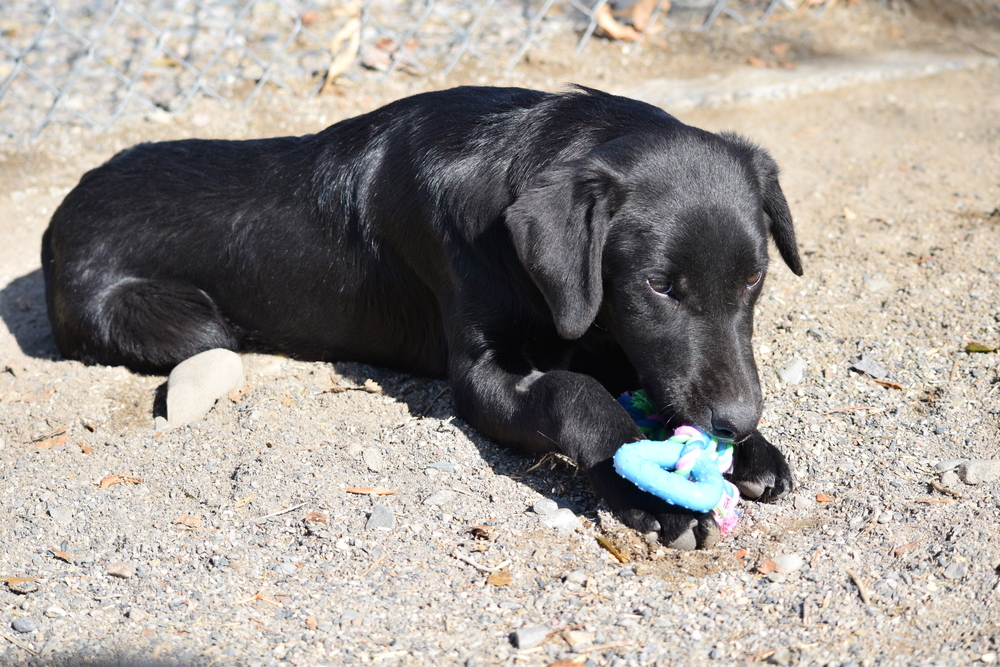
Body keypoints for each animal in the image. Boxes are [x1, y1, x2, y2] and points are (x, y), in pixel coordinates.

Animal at [43, 86, 804, 552]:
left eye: (755, 278)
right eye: (658, 285)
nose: (735, 422)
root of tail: (58, 218)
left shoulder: (592, 319)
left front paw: (754, 452)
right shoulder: (482, 372)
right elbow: (572, 393)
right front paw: (651, 493)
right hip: (183, 322)